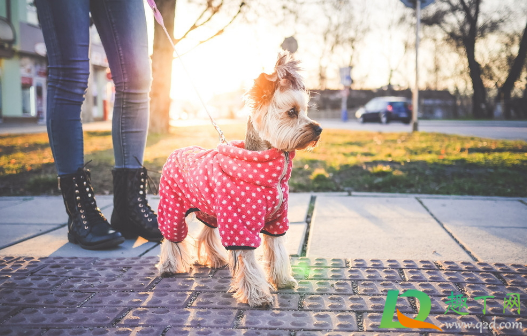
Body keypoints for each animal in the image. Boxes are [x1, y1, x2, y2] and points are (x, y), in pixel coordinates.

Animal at [156, 51, 322, 308]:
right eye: (292, 112)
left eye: (305, 110)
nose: (319, 129)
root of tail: (176, 150)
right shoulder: (240, 224)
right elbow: (248, 260)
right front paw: (258, 295)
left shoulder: (275, 220)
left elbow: (277, 250)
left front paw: (283, 280)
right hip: (172, 206)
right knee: (172, 237)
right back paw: (168, 266)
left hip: (210, 210)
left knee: (206, 232)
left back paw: (215, 259)